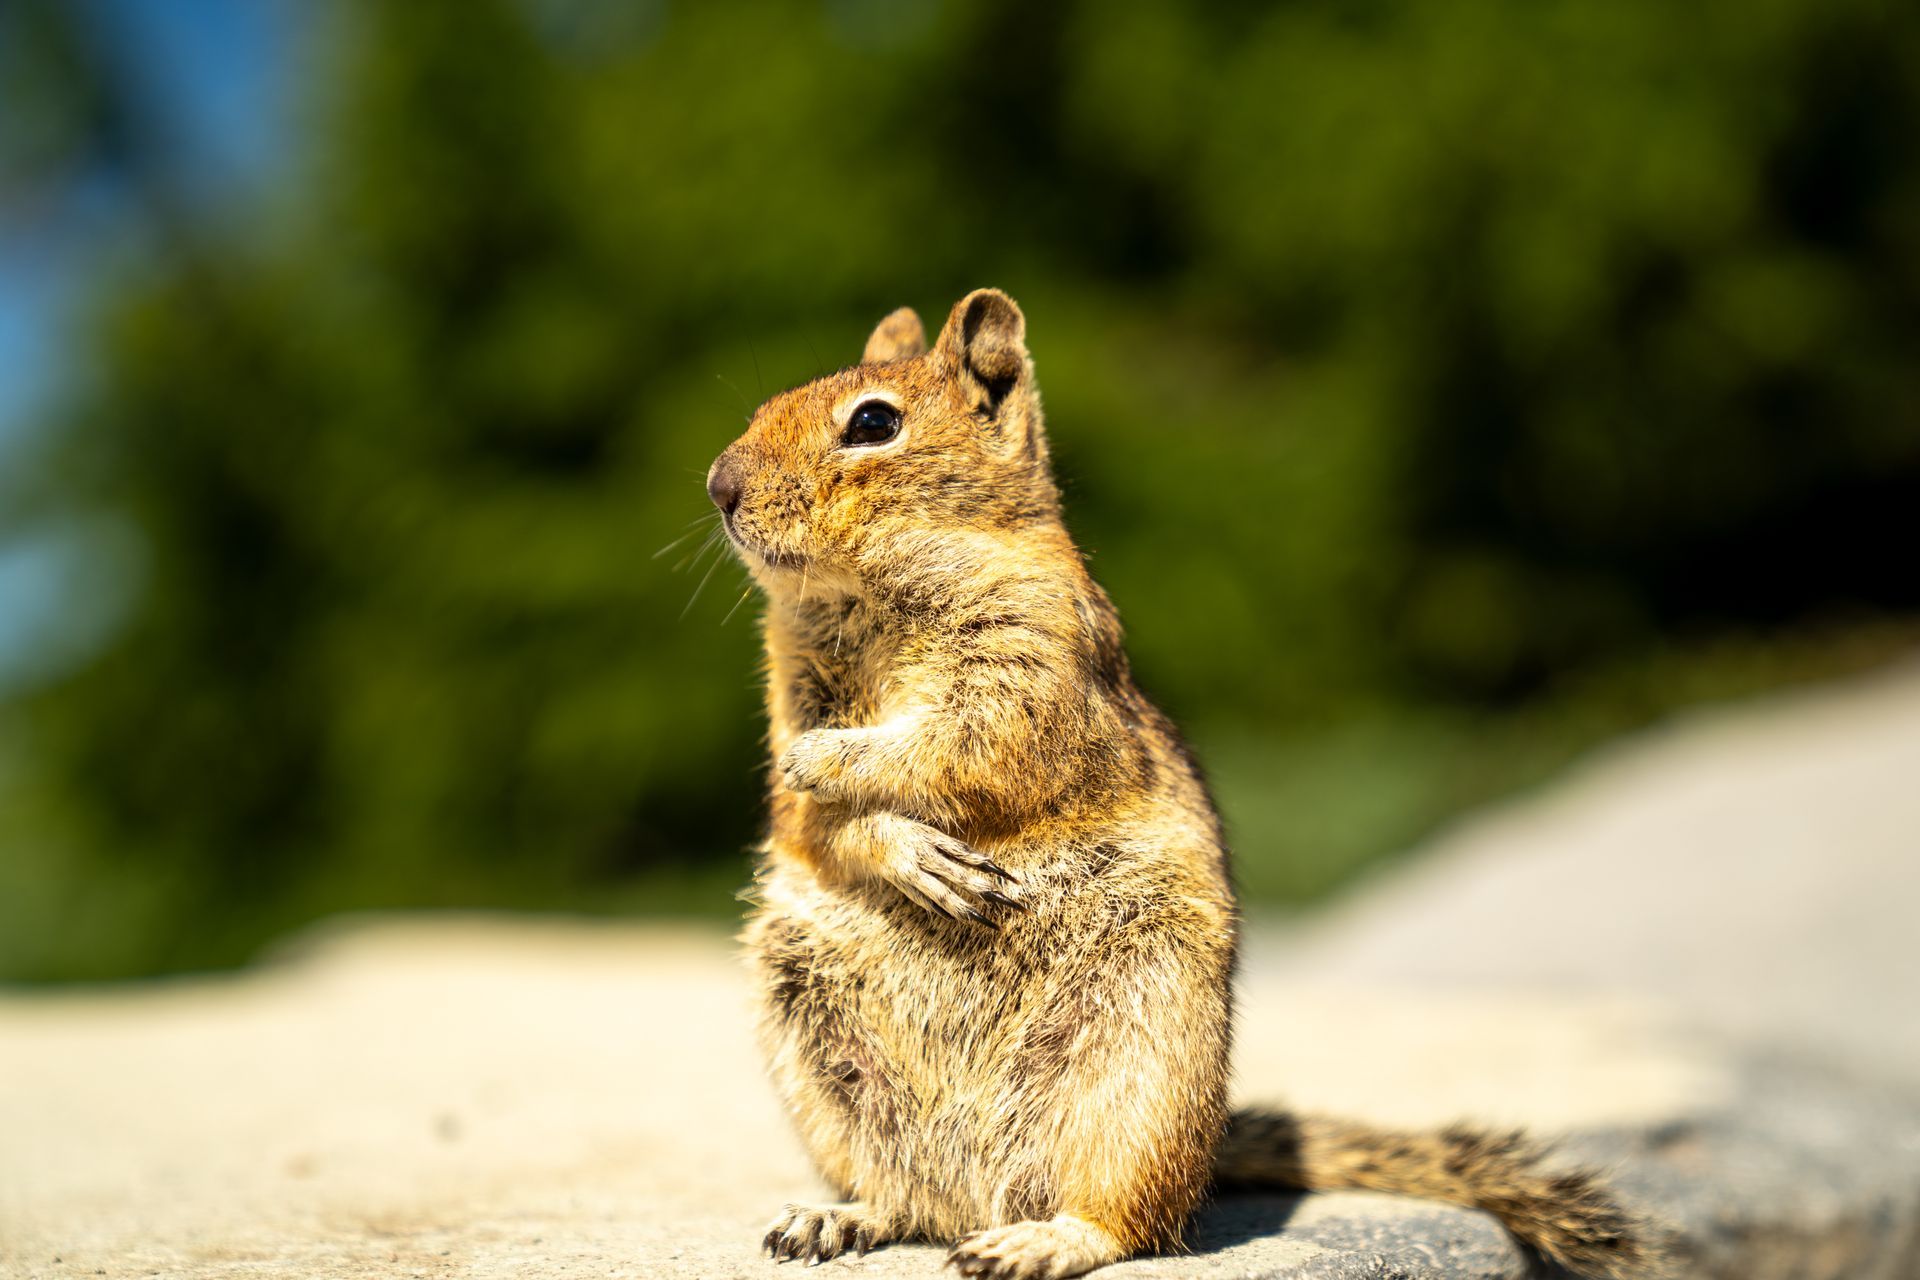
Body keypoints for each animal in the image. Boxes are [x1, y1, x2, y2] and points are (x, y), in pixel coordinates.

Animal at [710, 289, 1661, 1280]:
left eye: (873, 423)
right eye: (767, 404)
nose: (719, 486)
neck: (865, 598)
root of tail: (979, 1196)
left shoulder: (1027, 675)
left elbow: (954, 748)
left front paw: (835, 761)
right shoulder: (791, 701)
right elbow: (805, 820)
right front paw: (884, 832)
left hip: (1136, 1074)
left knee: (1126, 1220)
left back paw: (1040, 1239)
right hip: (820, 1056)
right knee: (907, 1197)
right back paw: (838, 1217)